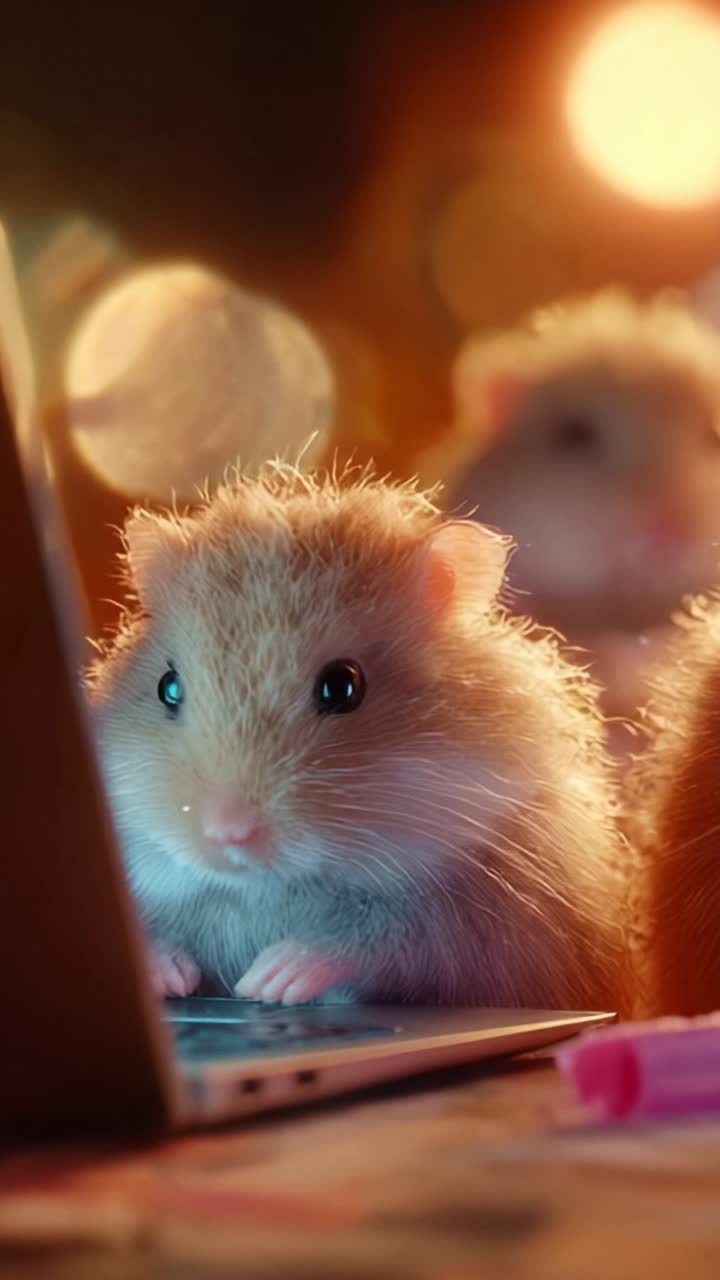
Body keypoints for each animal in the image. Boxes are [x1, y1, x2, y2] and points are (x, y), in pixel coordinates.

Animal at [87, 462, 629, 1010]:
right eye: (167, 686)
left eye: (343, 685)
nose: (224, 834)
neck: (263, 888)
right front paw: (172, 976)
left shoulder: (482, 927)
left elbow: (376, 940)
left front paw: (268, 981)